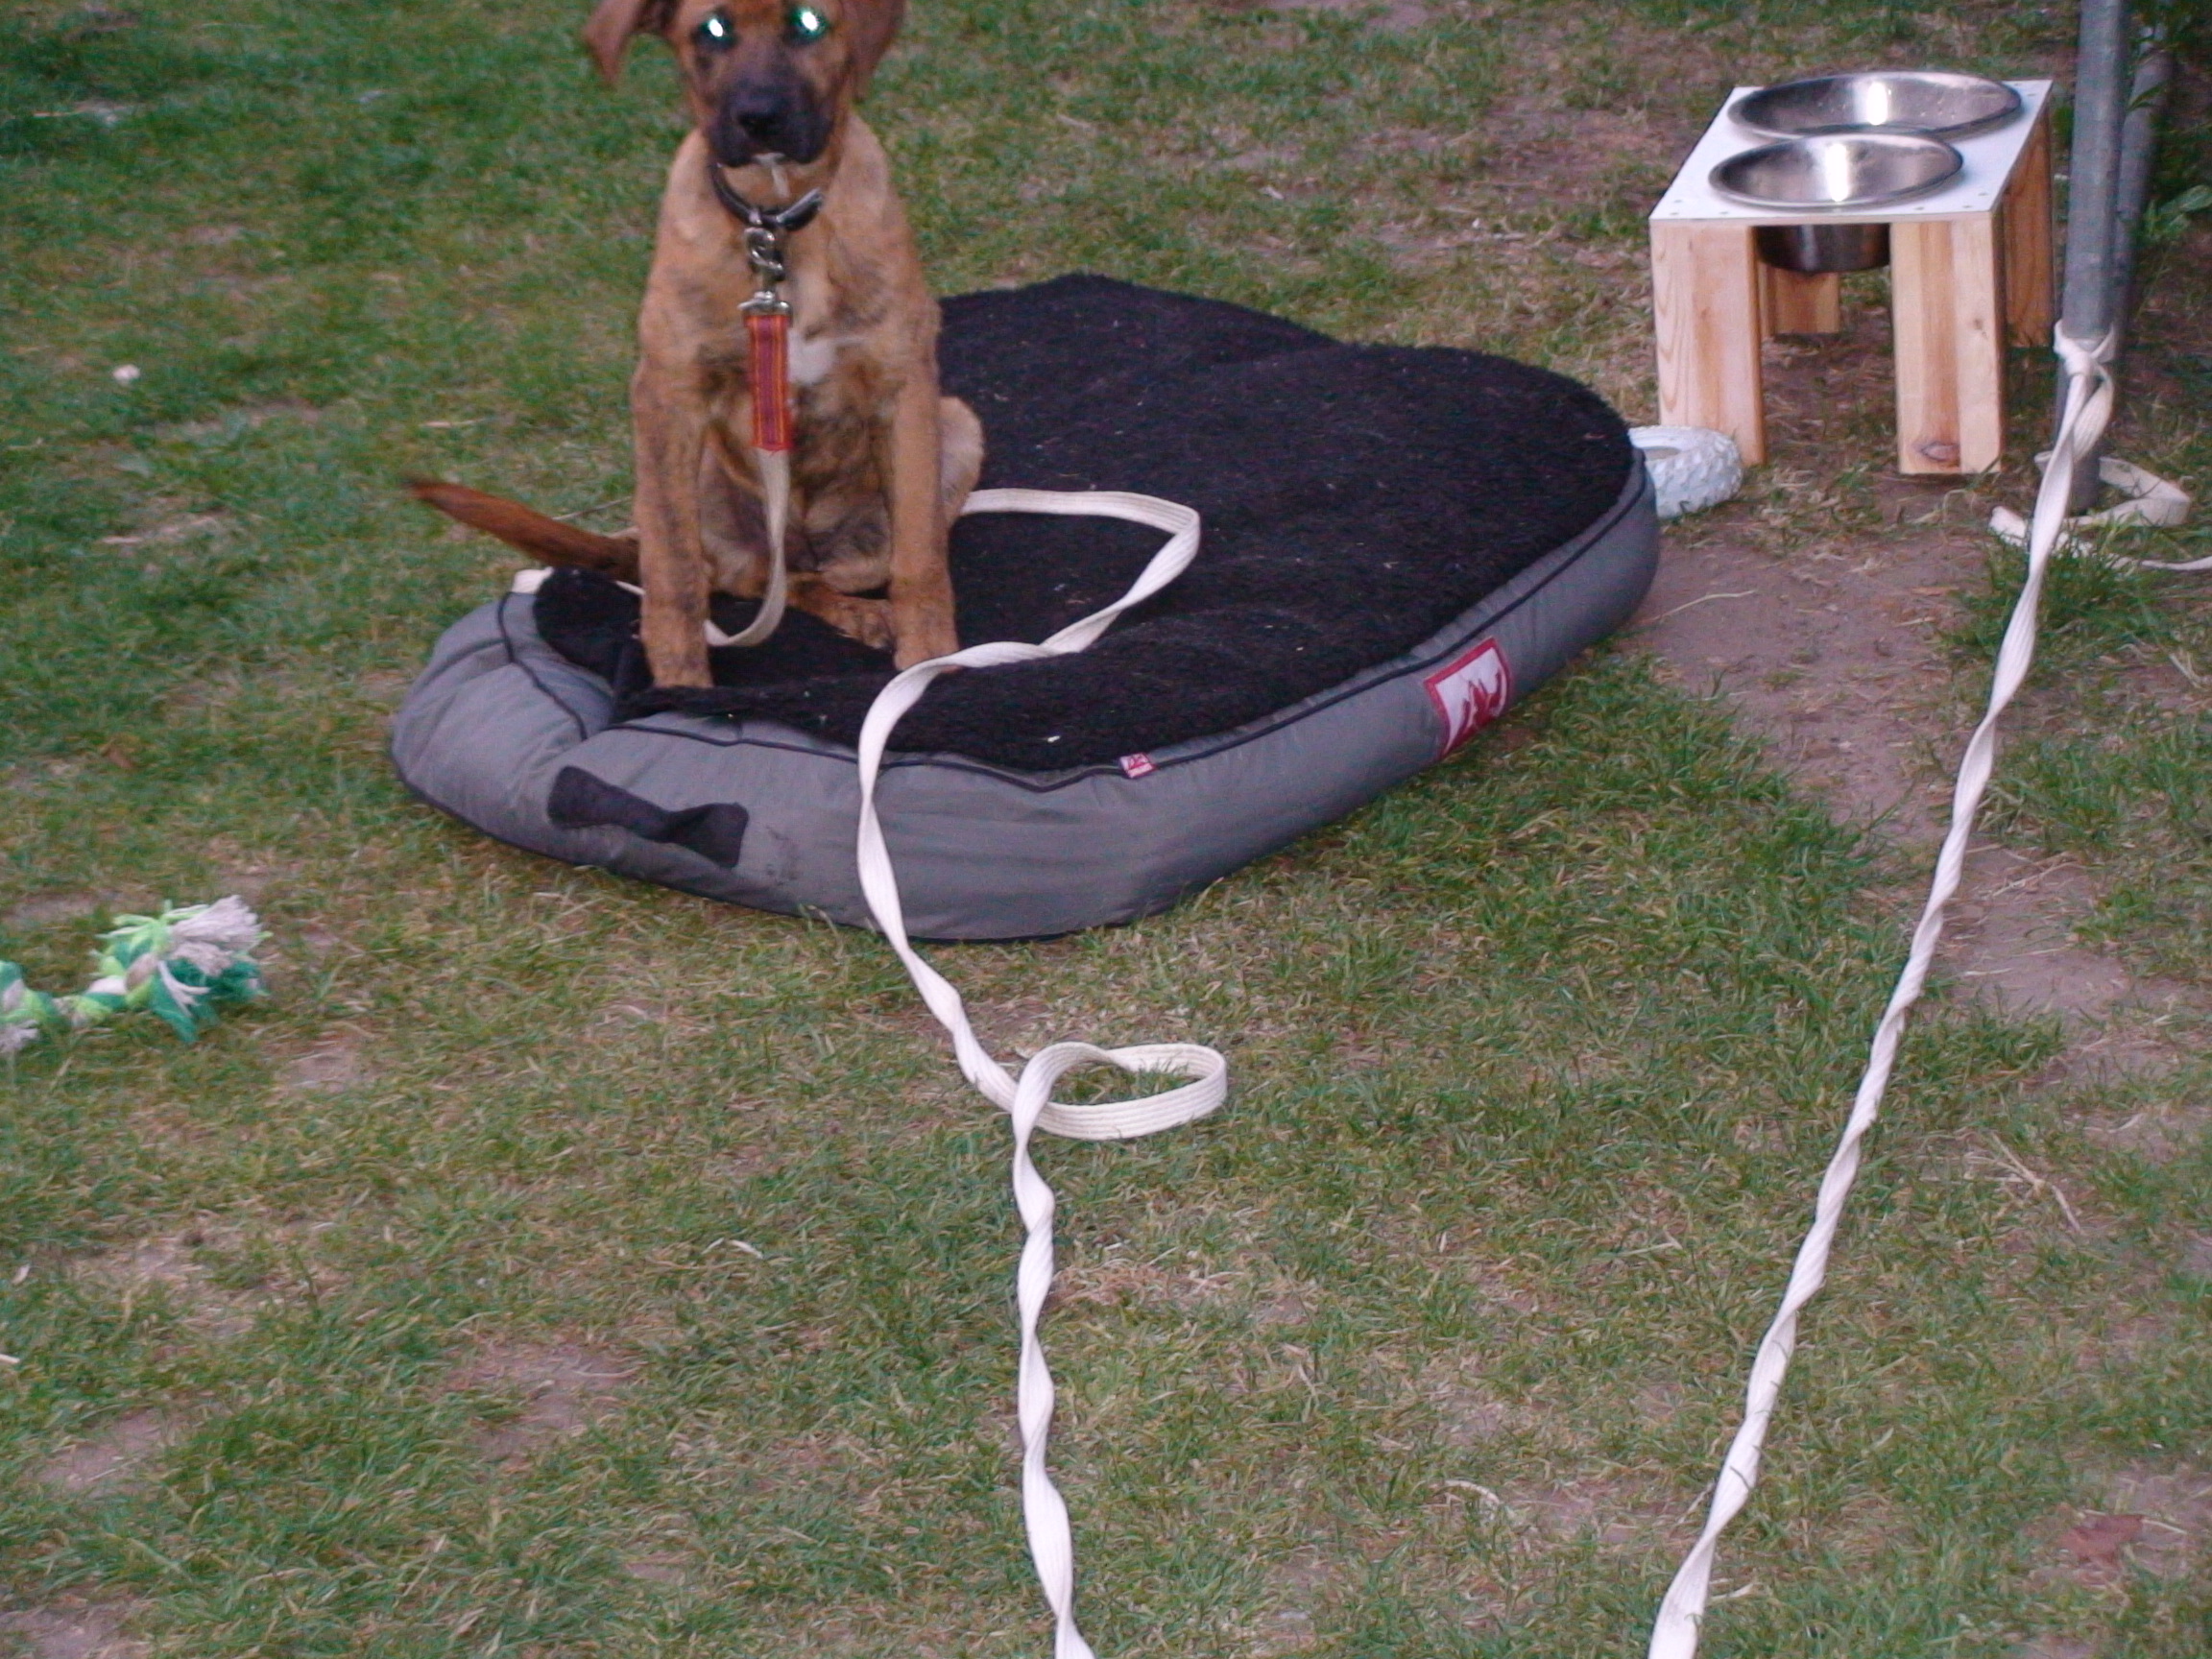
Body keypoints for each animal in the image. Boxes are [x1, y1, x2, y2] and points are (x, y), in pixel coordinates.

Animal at [413, 0, 980, 684]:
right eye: (712, 28)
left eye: (810, 21)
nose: (758, 118)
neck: (774, 225)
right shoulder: (668, 397)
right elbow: (673, 573)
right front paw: (681, 686)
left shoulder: (904, 385)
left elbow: (919, 560)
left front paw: (930, 665)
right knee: (760, 580)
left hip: (953, 428)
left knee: (825, 574)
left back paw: (868, 612)